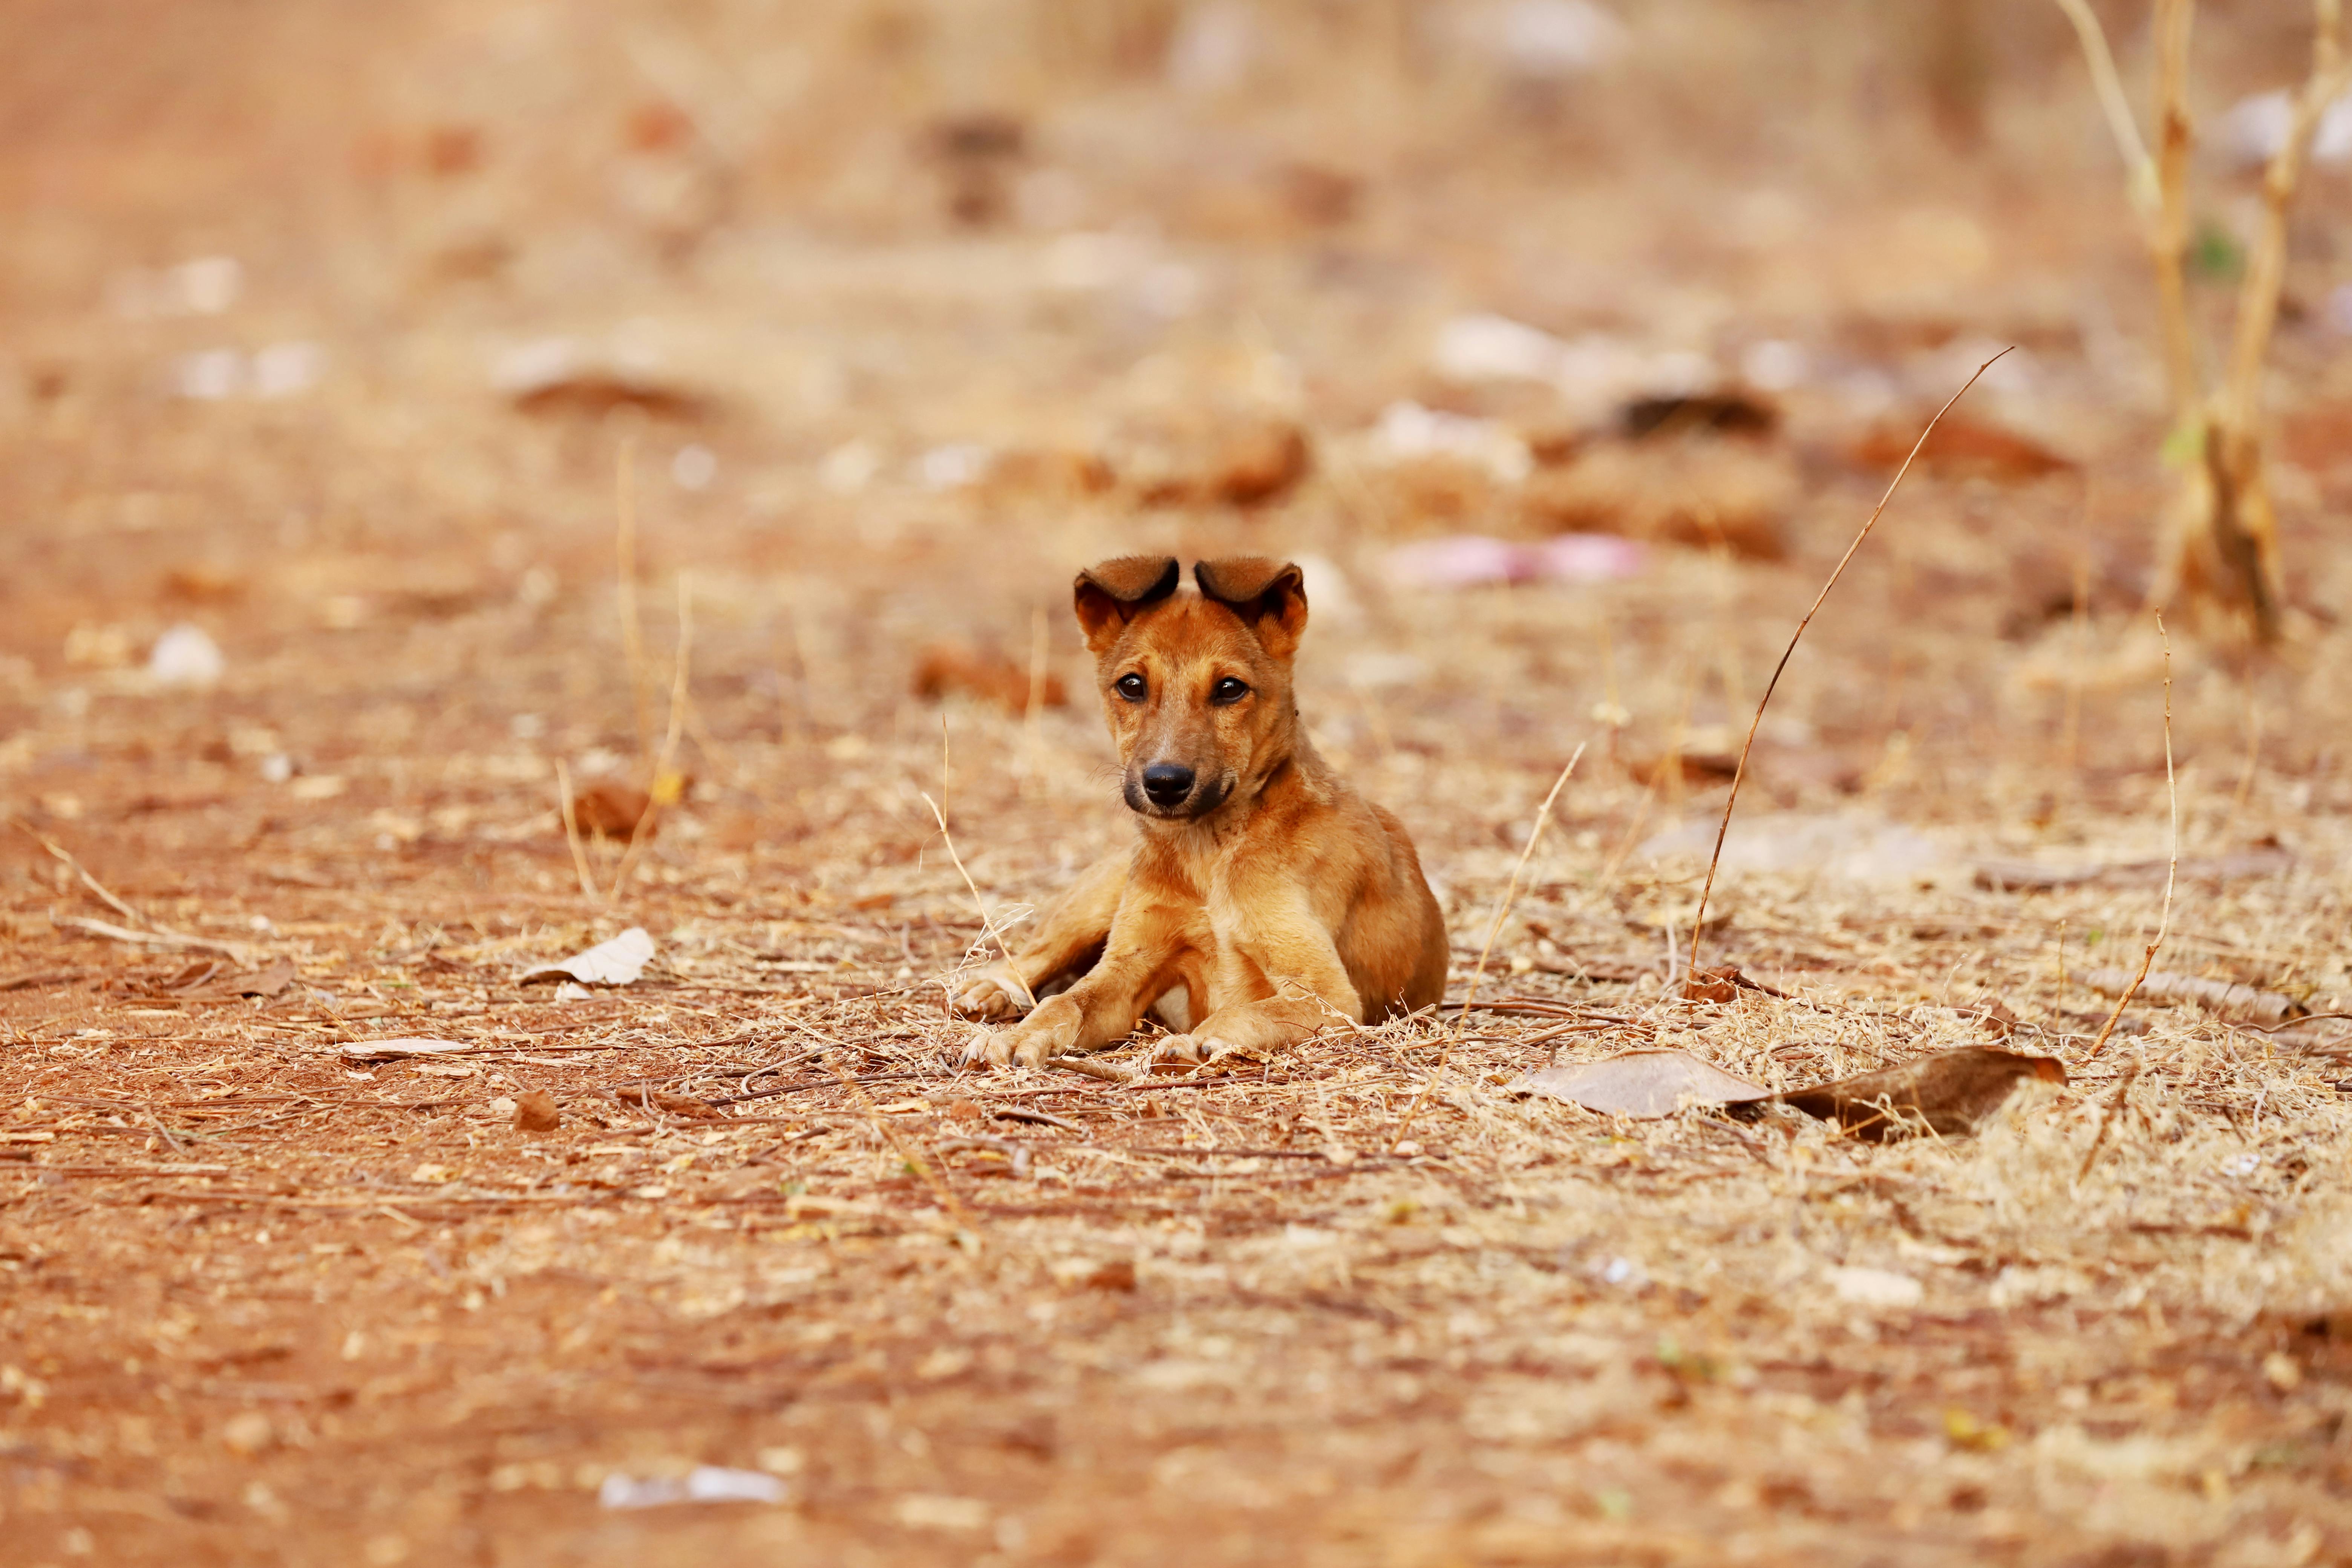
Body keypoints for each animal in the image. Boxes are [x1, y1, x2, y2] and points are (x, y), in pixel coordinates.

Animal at [959, 557, 1449, 1072]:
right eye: (1131, 685)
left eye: (1230, 688)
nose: (1165, 783)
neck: (1210, 852)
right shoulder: (1128, 967)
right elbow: (1066, 1002)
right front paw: (1015, 1037)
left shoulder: (1328, 995)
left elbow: (1248, 1011)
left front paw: (1199, 1041)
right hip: (1096, 900)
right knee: (1035, 958)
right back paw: (993, 990)